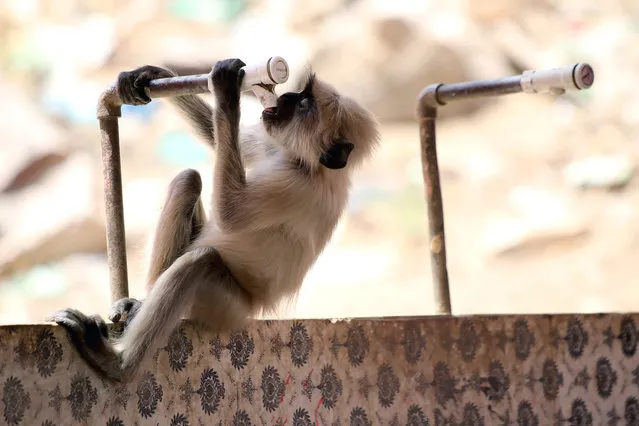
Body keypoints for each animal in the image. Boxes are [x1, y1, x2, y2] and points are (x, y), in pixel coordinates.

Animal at [50, 58, 382, 382]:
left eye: (304, 104)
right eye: (301, 95)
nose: (287, 96)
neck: (311, 167)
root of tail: (252, 310)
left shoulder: (296, 188)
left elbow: (230, 213)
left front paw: (227, 91)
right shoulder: (276, 148)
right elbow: (225, 138)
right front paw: (148, 74)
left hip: (224, 306)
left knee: (200, 262)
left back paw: (119, 365)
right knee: (188, 180)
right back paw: (138, 307)